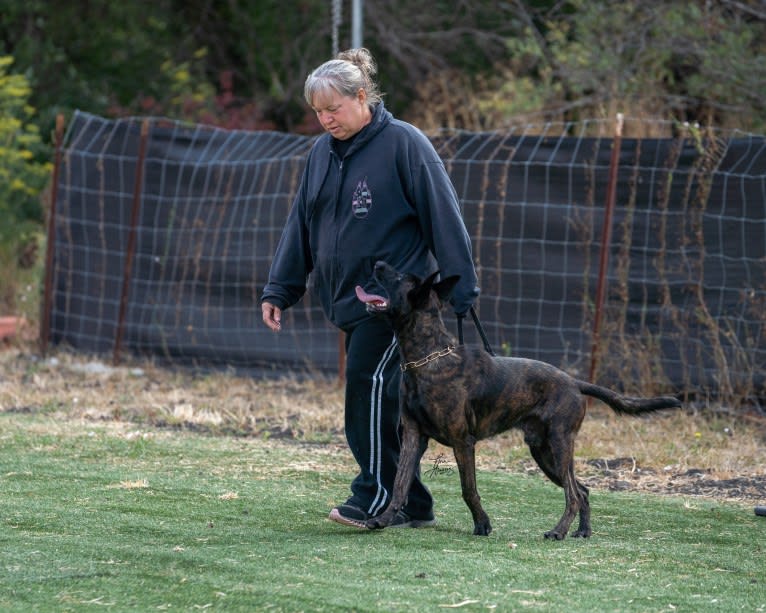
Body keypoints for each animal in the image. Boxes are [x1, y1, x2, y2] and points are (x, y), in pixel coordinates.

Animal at [356, 260, 680, 536]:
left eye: (399, 276)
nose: (378, 263)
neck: (428, 358)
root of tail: (574, 382)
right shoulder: (413, 436)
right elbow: (399, 484)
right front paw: (383, 519)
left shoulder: (463, 441)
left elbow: (468, 489)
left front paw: (483, 524)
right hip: (544, 452)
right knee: (582, 490)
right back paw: (582, 531)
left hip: (559, 446)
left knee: (573, 494)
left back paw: (558, 531)